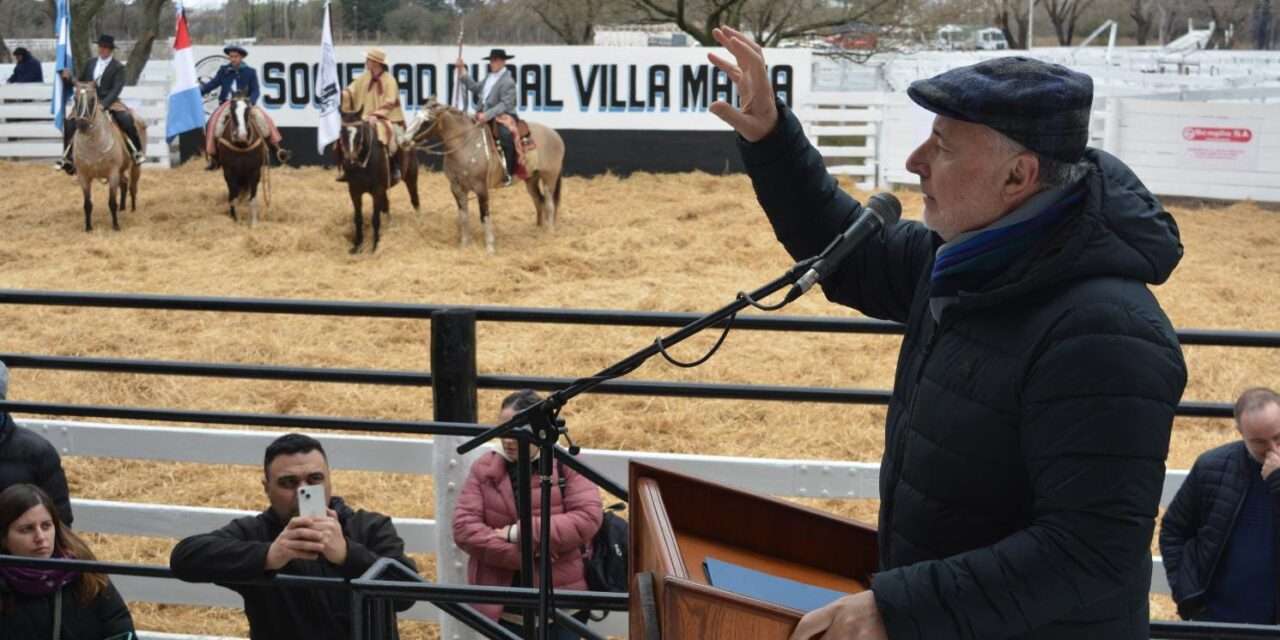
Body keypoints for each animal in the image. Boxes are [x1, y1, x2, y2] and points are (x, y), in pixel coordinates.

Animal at [67, 79, 144, 230]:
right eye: (75, 98)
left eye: (92, 99)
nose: (82, 124)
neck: (93, 145)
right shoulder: (83, 176)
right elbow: (87, 204)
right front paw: (88, 227)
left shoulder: (112, 173)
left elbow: (111, 202)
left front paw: (115, 226)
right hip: (120, 171)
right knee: (125, 183)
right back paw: (122, 208)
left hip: (134, 167)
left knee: (133, 186)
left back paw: (132, 209)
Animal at [215, 93, 270, 226]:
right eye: (231, 109)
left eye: (248, 109)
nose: (241, 135)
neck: (241, 145)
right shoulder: (229, 172)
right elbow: (233, 196)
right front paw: (235, 218)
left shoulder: (255, 171)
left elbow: (253, 197)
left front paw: (254, 223)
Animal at [337, 112, 422, 254]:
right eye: (341, 132)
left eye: (360, 133)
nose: (350, 161)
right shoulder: (354, 192)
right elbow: (358, 218)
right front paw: (357, 245)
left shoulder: (377, 191)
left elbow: (375, 219)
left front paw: (375, 246)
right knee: (386, 206)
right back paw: (389, 226)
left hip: (411, 178)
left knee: (415, 200)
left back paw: (418, 220)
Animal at [409, 96, 565, 253]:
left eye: (426, 121)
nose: (405, 140)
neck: (466, 144)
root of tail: (555, 135)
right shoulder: (456, 188)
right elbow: (463, 216)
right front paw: (464, 244)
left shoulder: (481, 188)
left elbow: (484, 216)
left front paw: (490, 247)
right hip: (531, 179)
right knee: (539, 200)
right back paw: (539, 229)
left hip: (549, 177)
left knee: (549, 203)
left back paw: (549, 232)